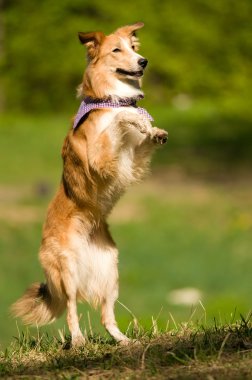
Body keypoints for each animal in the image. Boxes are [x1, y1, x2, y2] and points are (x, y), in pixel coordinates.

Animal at [12, 22, 168, 346]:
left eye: (134, 47)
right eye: (117, 50)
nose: (143, 61)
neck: (107, 96)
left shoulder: (131, 163)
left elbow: (141, 138)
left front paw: (154, 130)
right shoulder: (100, 162)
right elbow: (120, 117)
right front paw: (133, 116)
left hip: (111, 273)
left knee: (106, 316)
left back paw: (125, 342)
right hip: (67, 272)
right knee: (72, 310)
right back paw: (79, 341)